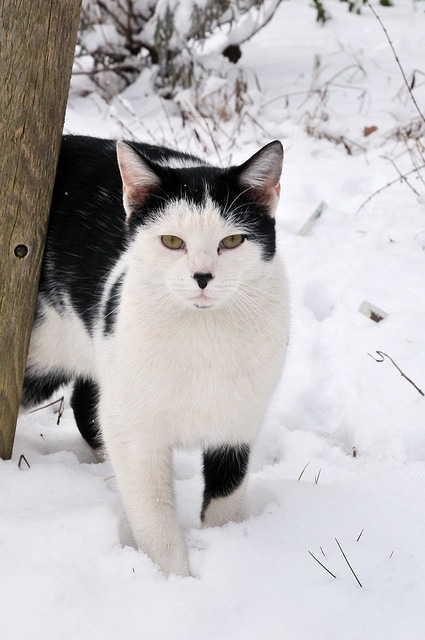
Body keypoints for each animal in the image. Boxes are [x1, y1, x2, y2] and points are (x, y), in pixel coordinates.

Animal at [21, 135, 290, 576]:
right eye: (172, 241)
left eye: (232, 241)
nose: (202, 277)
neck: (202, 336)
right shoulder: (137, 433)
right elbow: (154, 518)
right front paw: (174, 581)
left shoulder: (238, 423)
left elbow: (226, 498)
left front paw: (226, 549)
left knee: (85, 402)